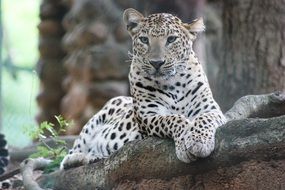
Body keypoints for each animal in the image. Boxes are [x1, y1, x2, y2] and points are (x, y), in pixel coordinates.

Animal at [60, 7, 226, 169]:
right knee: (67, 159)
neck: (174, 83)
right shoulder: (149, 115)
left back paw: (95, 157)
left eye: (171, 39)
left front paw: (199, 141)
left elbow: (204, 119)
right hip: (99, 116)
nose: (156, 63)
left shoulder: (211, 109)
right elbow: (175, 119)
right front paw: (185, 144)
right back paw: (80, 158)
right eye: (144, 40)